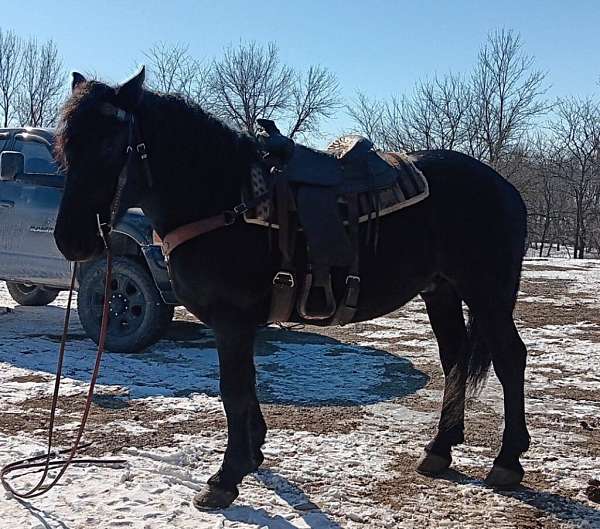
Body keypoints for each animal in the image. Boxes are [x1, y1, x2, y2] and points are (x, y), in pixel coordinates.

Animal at [52, 68, 528, 510]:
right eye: (63, 148)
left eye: (111, 146)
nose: (72, 240)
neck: (223, 196)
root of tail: (506, 188)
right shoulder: (242, 324)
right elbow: (247, 388)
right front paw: (253, 453)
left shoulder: (231, 320)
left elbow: (234, 390)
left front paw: (226, 478)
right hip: (442, 292)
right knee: (454, 359)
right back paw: (439, 450)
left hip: (488, 294)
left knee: (509, 358)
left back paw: (507, 462)